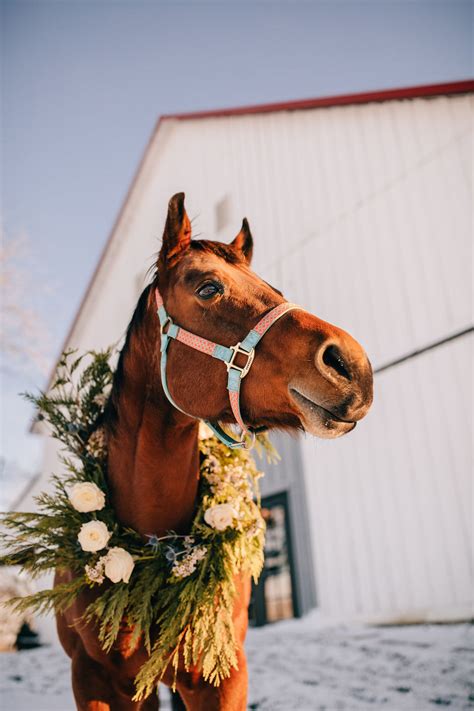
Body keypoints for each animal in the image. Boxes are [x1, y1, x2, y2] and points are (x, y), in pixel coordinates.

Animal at [56, 192, 374, 708]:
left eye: (273, 287)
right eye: (208, 288)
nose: (352, 365)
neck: (152, 549)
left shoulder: (221, 676)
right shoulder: (93, 681)